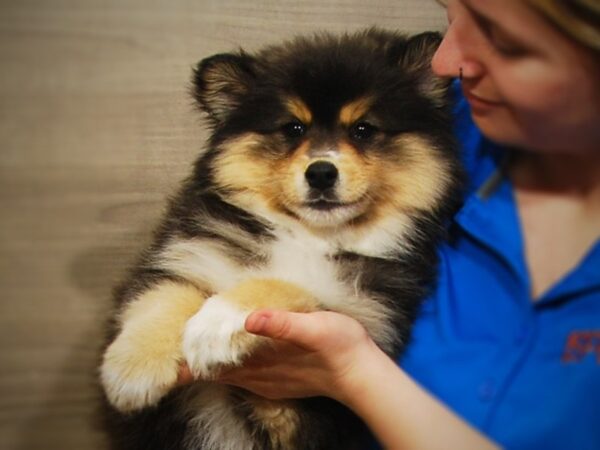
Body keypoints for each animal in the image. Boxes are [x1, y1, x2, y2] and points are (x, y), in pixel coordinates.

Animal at [101, 28, 462, 450]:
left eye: (363, 129)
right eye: (293, 128)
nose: (320, 172)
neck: (307, 235)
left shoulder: (361, 317)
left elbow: (287, 285)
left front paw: (215, 326)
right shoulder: (189, 252)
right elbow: (163, 296)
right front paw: (132, 370)